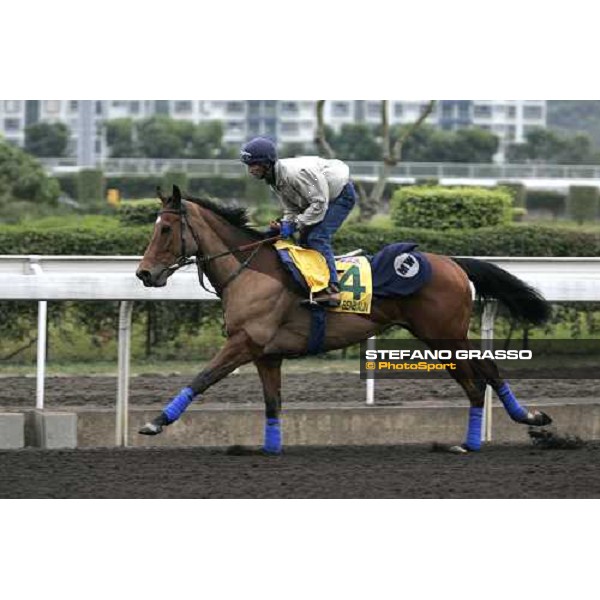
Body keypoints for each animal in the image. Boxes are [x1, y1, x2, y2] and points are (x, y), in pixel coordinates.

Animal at [136, 185, 552, 452]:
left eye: (166, 229)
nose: (144, 273)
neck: (251, 270)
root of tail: (453, 262)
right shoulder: (267, 355)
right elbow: (273, 403)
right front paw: (270, 448)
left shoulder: (244, 342)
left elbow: (202, 378)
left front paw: (156, 421)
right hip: (441, 337)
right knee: (481, 378)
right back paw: (499, 431)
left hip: (444, 335)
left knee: (482, 377)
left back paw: (503, 430)